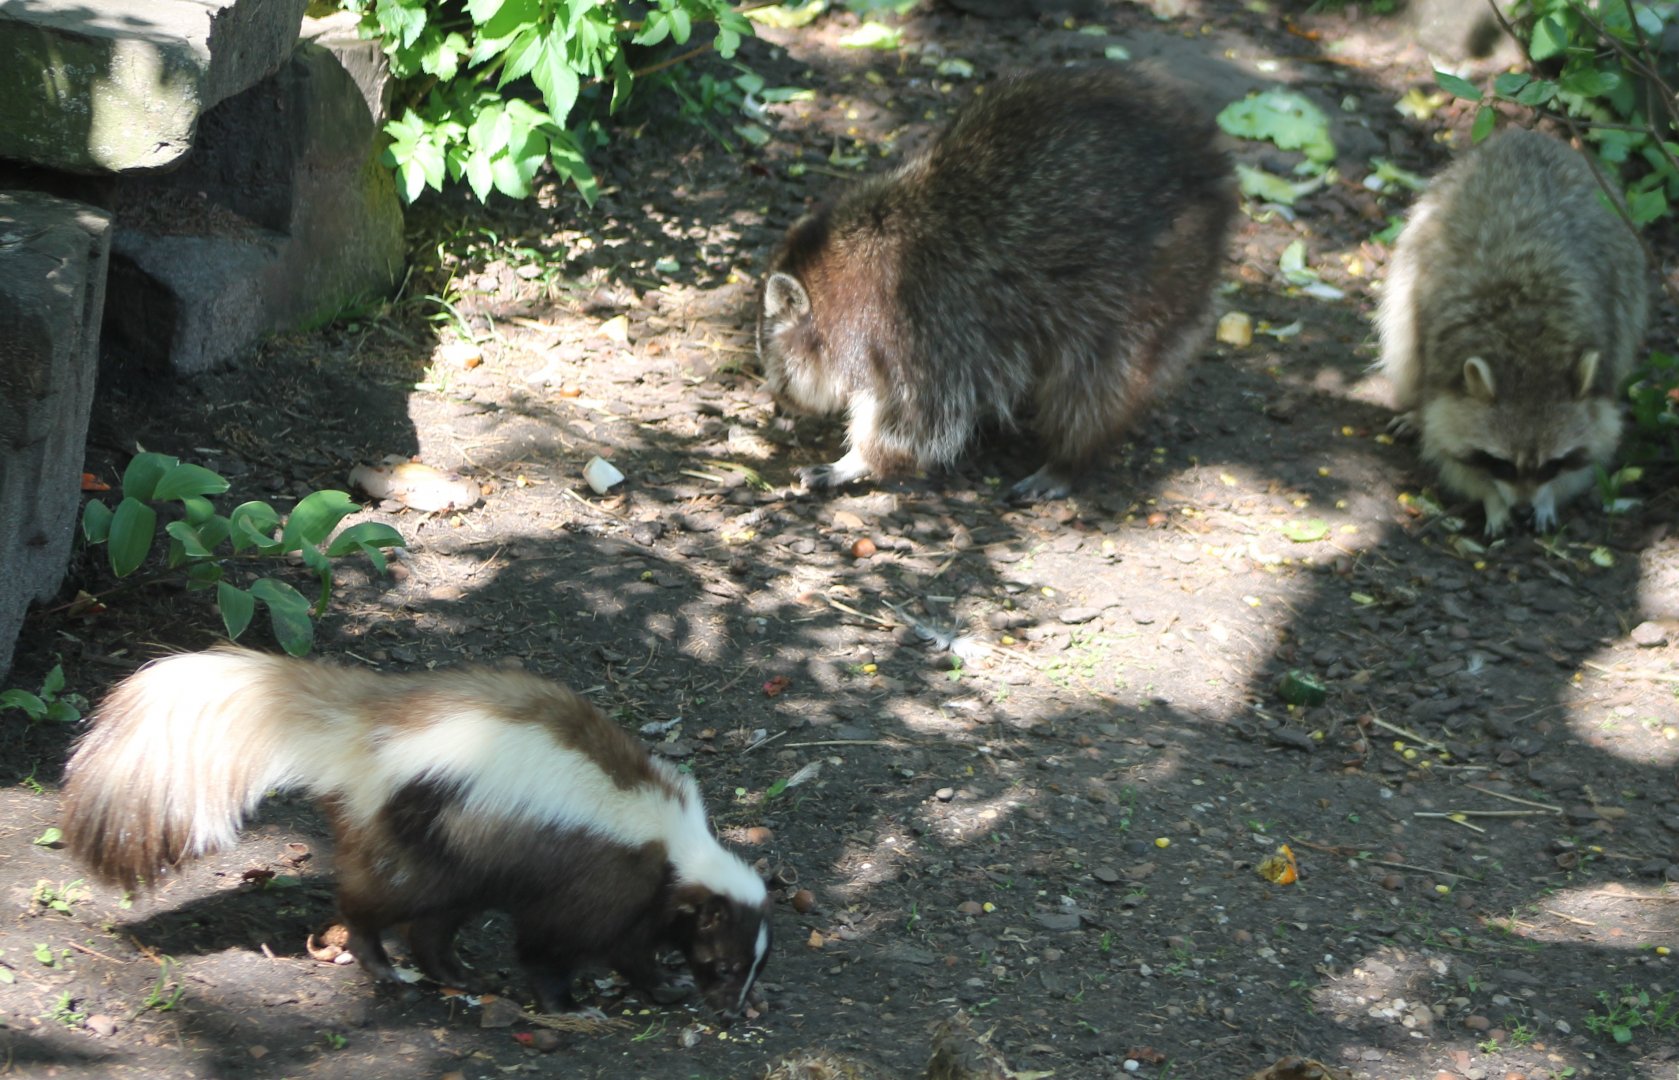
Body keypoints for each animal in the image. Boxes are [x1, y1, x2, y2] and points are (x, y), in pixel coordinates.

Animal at [756, 65, 1236, 501]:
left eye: (773, 360)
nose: (779, 402)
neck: (836, 271)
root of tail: (1210, 167)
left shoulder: (918, 327)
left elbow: (920, 423)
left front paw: (857, 460)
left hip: (1154, 280)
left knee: (1097, 381)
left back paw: (1069, 459)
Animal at [1376, 128, 1649, 535]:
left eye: (1552, 464)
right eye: (1501, 463)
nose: (1522, 508)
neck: (1529, 345)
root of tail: (1528, 135)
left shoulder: (1604, 360)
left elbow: (1596, 443)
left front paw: (1549, 497)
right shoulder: (1441, 366)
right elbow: (1443, 441)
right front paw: (1490, 497)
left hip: (1628, 272)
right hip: (1410, 260)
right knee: (1402, 346)